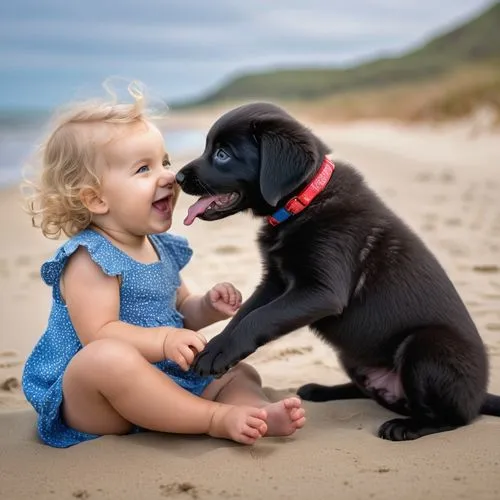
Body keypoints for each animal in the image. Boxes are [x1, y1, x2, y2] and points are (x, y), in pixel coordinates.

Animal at [176, 102, 500, 442]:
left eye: (223, 154)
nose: (177, 177)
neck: (303, 201)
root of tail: (479, 396)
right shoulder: (274, 282)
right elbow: (243, 315)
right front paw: (216, 347)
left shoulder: (321, 291)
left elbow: (258, 318)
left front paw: (218, 354)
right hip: (351, 356)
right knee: (371, 392)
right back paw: (322, 390)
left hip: (426, 346)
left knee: (454, 417)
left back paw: (408, 426)